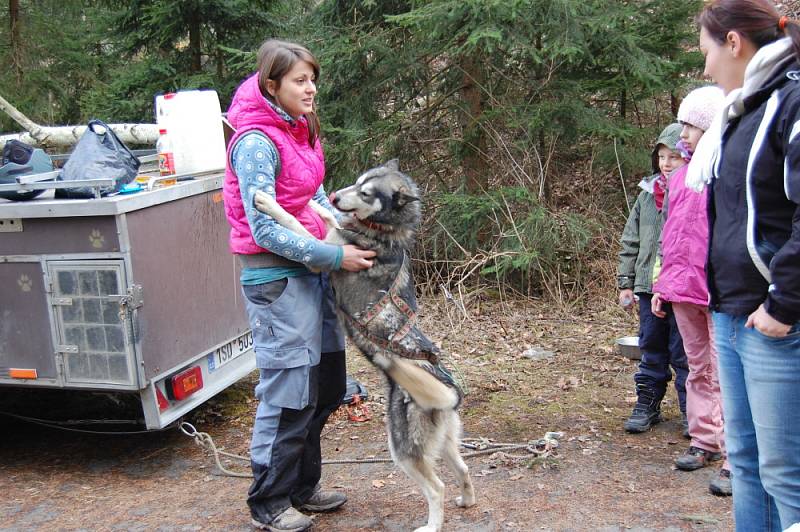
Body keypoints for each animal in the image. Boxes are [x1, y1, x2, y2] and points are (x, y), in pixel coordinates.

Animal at [253, 159, 472, 532]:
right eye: (356, 183)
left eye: (367, 193)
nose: (335, 195)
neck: (382, 231)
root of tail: (447, 389)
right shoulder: (334, 233)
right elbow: (326, 219)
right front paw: (315, 204)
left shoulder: (324, 253)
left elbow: (295, 225)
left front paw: (271, 203)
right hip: (444, 442)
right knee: (464, 468)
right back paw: (467, 500)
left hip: (403, 451)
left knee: (437, 487)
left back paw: (432, 524)